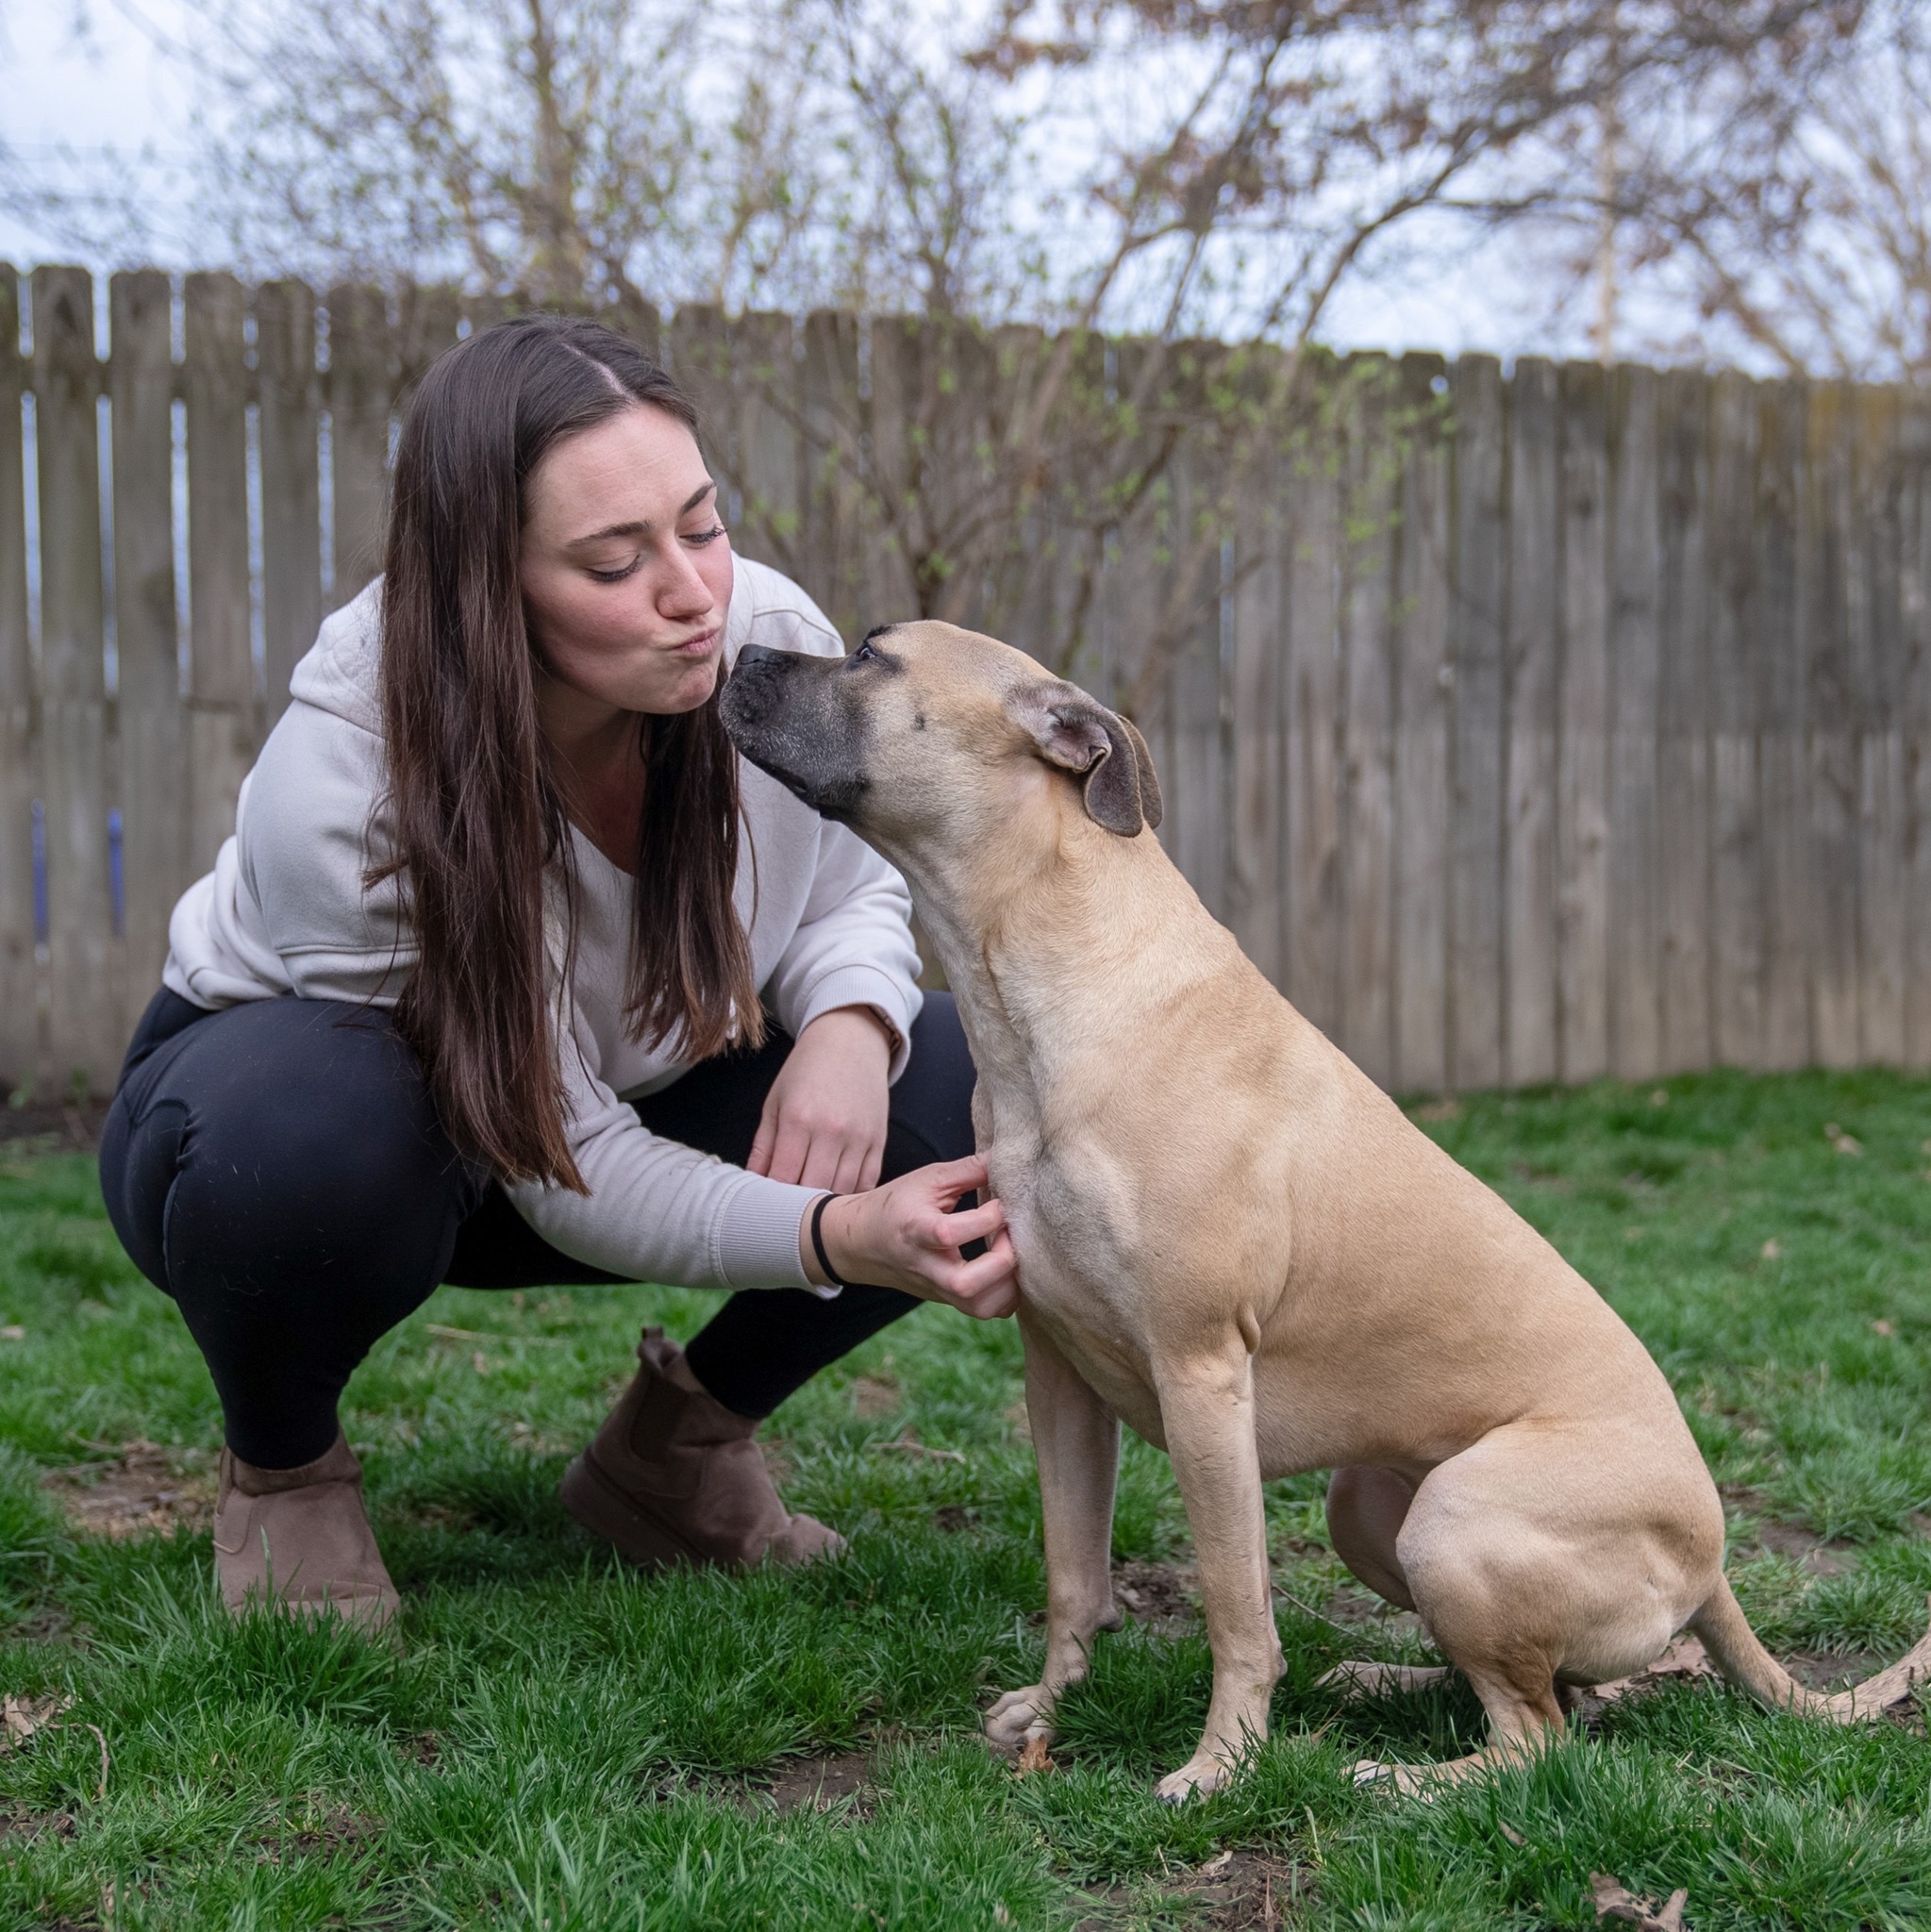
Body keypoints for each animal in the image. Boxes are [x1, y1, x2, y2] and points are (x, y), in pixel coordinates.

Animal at [714, 618, 1930, 1792]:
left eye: (873, 656)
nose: (744, 650)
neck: (1046, 984)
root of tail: (1713, 1558)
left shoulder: (1201, 1377)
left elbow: (1234, 1604)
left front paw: (1221, 1763)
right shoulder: (1056, 1372)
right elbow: (1072, 1572)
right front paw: (1051, 1712)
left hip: (1460, 1518)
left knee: (1540, 1737)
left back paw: (1399, 1776)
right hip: (1369, 1507)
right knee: (1552, 1693)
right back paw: (1382, 1682)